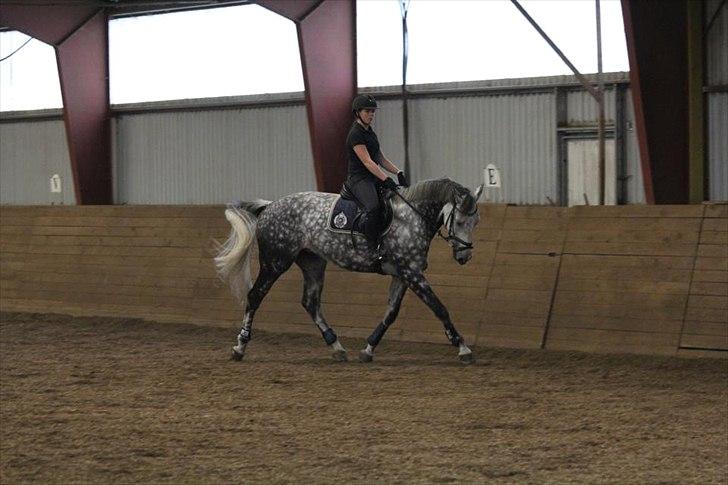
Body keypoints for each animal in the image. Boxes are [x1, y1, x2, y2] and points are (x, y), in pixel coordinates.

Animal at [212, 176, 484, 362]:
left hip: (312, 263)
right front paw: (462, 347)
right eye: (460, 221)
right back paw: (240, 347)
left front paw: (368, 349)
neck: (412, 218)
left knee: (310, 302)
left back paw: (336, 346)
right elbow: (439, 307)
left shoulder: (403, 274)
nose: (464, 256)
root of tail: (269, 206)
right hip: (275, 262)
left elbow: (391, 313)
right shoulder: (412, 274)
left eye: (476, 222)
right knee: (255, 296)